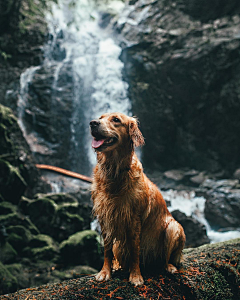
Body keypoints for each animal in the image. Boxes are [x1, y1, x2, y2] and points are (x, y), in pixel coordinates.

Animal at [90, 112, 186, 286]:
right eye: (100, 118)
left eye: (116, 120)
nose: (93, 123)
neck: (114, 170)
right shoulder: (105, 217)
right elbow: (107, 249)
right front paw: (105, 272)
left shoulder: (134, 218)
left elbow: (135, 250)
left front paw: (135, 276)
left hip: (173, 227)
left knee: (167, 259)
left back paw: (169, 267)